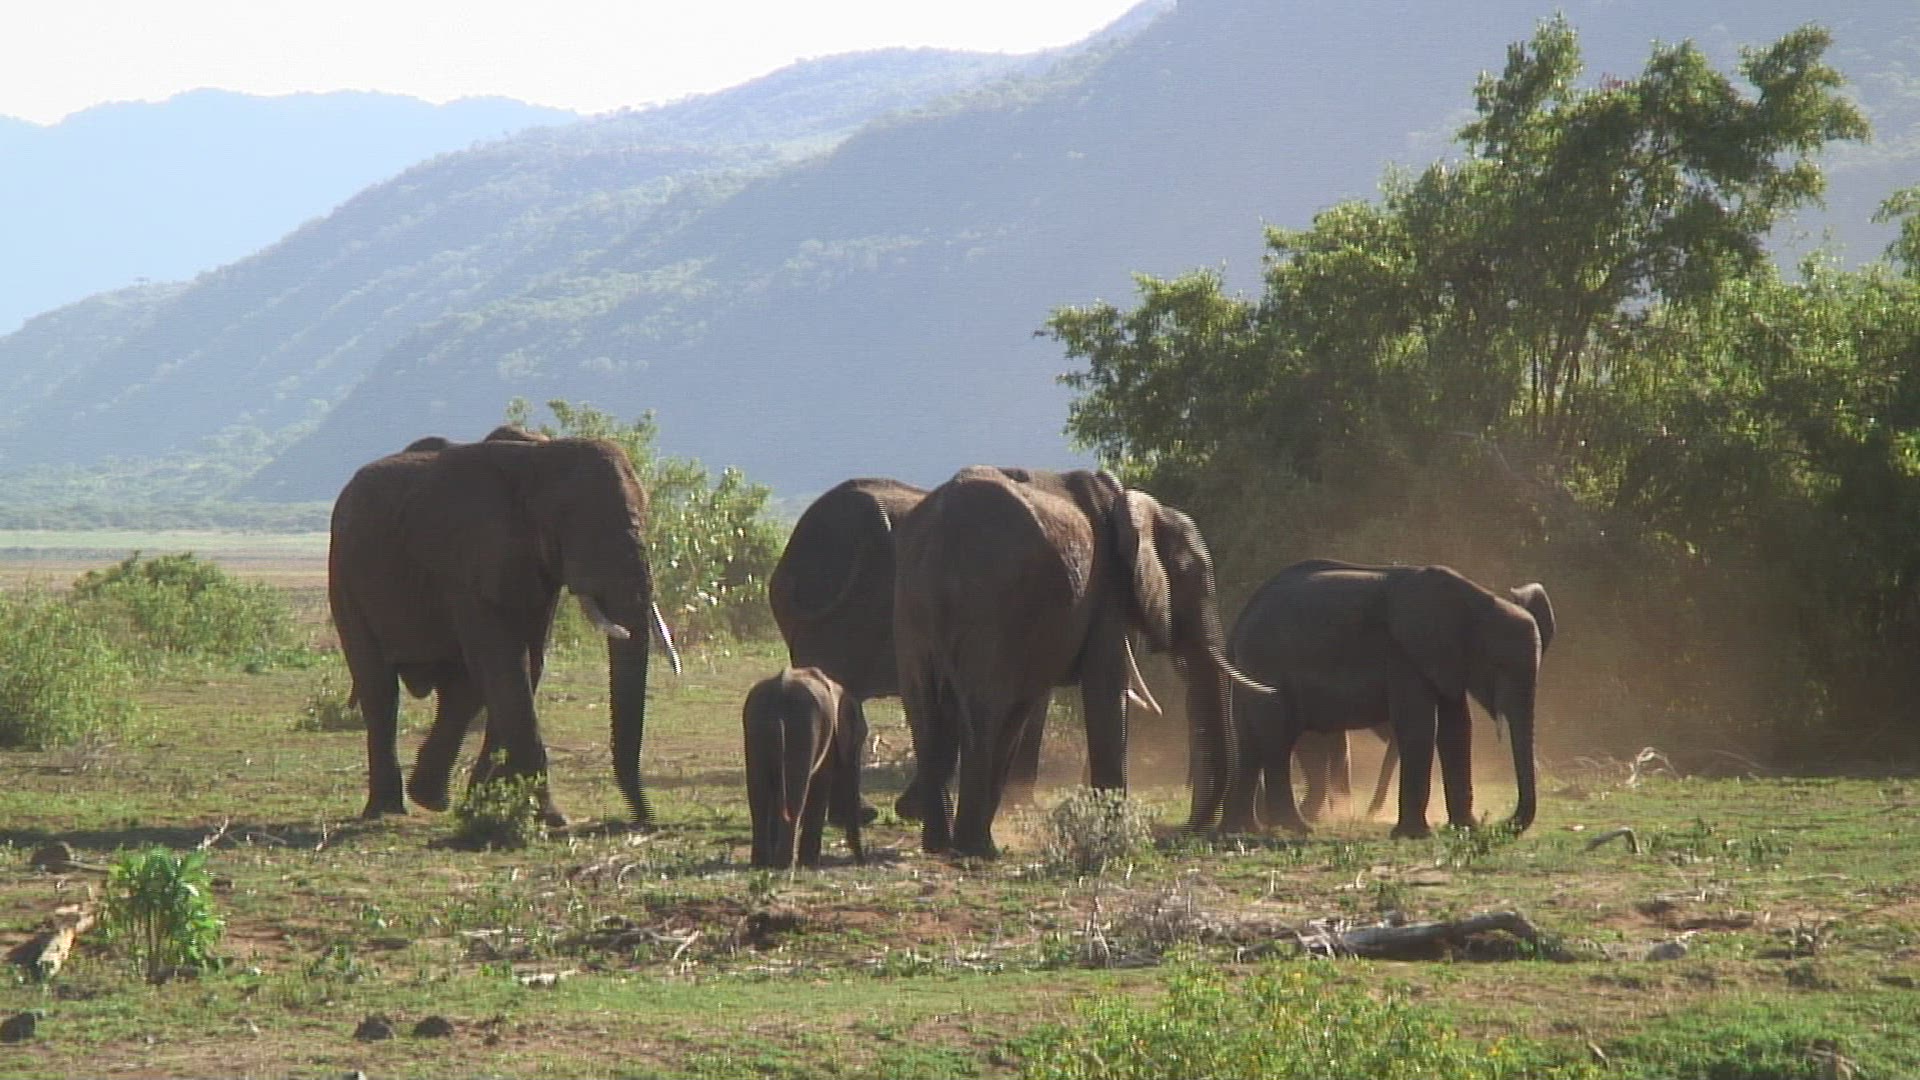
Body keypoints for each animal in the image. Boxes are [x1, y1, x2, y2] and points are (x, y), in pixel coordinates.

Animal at [329, 434, 681, 829]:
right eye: (575, 522)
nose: (644, 821)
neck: (537, 462)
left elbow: (527, 663)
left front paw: (487, 808)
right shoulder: (469, 560)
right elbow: (505, 667)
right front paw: (550, 818)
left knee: (462, 691)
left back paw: (432, 799)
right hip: (344, 574)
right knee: (379, 687)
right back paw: (386, 810)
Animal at [741, 667, 867, 868]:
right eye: (860, 737)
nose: (861, 862)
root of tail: (781, 689)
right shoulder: (829, 738)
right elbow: (821, 783)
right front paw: (810, 864)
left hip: (755, 725)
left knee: (758, 790)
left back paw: (761, 864)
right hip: (804, 727)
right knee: (796, 790)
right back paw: (785, 864)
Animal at [893, 466, 1260, 858]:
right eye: (1191, 579)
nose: (1188, 828)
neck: (1137, 507)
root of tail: (939, 538)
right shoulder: (1106, 589)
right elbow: (1106, 688)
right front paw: (1115, 836)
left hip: (914, 612)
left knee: (930, 712)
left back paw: (941, 845)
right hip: (989, 607)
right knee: (986, 712)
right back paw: (977, 849)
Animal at [1222, 559, 1555, 838]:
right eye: (1498, 666)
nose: (1499, 823)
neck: (1476, 600)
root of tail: (1241, 618)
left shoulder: (1444, 660)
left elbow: (1457, 729)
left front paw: (1465, 828)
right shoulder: (1403, 656)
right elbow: (1420, 727)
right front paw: (1416, 835)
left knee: (1249, 743)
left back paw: (1243, 829)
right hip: (1267, 665)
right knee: (1277, 739)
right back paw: (1295, 828)